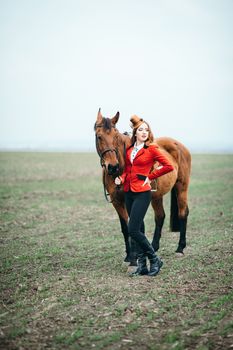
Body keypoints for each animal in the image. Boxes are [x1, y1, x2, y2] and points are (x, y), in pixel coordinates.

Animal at [94, 108, 191, 266]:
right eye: (99, 136)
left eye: (116, 136)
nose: (113, 166)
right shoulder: (117, 202)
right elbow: (125, 227)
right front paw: (129, 256)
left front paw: (136, 257)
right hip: (157, 196)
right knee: (160, 216)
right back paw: (154, 247)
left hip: (181, 187)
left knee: (183, 213)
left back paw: (180, 248)